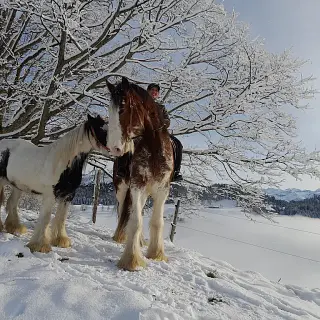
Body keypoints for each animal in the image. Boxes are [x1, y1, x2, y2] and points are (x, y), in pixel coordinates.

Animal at [0, 115, 109, 252]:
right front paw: (39, 245)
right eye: (101, 128)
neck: (63, 163)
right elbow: (46, 218)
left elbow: (61, 218)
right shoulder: (50, 195)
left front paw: (60, 241)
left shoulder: (68, 195)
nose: (118, 148)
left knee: (12, 203)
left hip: (18, 186)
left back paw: (15, 228)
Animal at [107, 77, 172, 270]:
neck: (154, 147)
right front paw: (131, 259)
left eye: (122, 108)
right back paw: (121, 236)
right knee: (123, 211)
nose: (114, 148)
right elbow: (135, 221)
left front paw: (157, 254)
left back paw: (141, 241)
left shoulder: (163, 189)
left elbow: (157, 222)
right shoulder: (137, 185)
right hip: (122, 190)